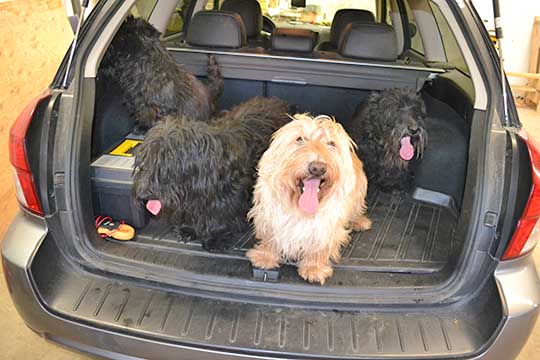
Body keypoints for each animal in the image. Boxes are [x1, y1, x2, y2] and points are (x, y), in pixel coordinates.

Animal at [132, 97, 288, 252]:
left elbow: (219, 216)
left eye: (166, 166)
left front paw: (214, 237)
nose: (142, 194)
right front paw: (188, 229)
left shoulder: (228, 196)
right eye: (144, 162)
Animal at [248, 114, 372, 284]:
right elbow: (270, 236)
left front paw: (314, 268)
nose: (317, 168)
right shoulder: (269, 215)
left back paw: (359, 221)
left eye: (331, 143)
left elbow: (319, 245)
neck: (299, 208)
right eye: (300, 139)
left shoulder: (325, 224)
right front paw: (265, 257)